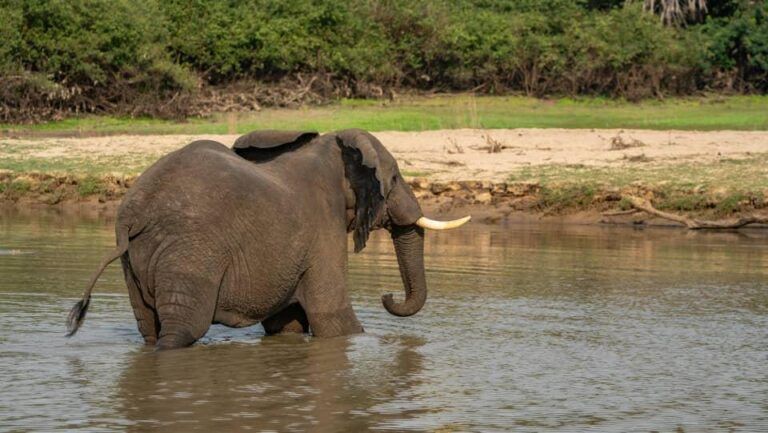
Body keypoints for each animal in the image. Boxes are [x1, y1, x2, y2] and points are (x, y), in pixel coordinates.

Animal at [65, 129, 470, 349]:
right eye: (396, 178)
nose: (387, 295)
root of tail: (133, 212)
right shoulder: (323, 225)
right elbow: (333, 320)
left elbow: (287, 326)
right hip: (190, 251)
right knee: (181, 331)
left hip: (136, 260)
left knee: (150, 329)